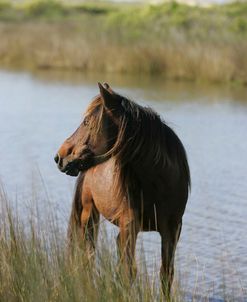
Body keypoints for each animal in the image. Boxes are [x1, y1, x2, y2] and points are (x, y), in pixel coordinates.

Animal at [54, 84, 189, 296]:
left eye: (86, 121)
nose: (60, 156)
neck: (159, 184)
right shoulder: (129, 225)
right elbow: (128, 272)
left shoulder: (172, 230)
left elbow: (166, 274)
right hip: (88, 215)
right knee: (88, 255)